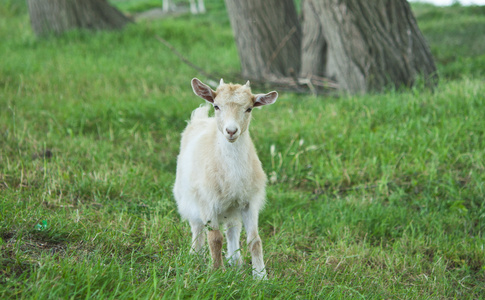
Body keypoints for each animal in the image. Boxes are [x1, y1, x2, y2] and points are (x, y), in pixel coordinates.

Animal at [174, 77, 276, 278]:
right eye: (216, 106)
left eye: (249, 108)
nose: (231, 131)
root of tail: (200, 118)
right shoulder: (208, 203)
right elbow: (214, 238)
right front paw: (216, 272)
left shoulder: (249, 202)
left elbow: (254, 240)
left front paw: (261, 276)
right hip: (189, 198)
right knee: (197, 227)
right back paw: (195, 255)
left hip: (232, 208)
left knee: (232, 229)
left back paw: (235, 261)